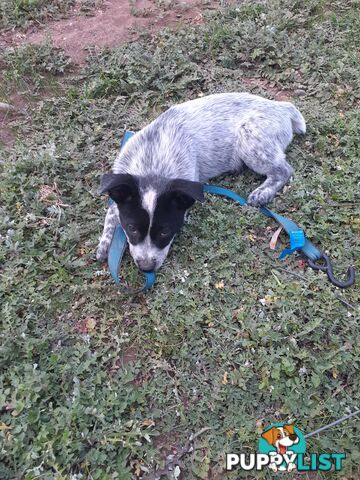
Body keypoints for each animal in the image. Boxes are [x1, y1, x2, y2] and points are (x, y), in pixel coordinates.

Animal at [97, 92, 306, 272]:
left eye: (165, 232)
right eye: (131, 228)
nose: (146, 268)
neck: (152, 165)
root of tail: (282, 107)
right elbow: (112, 213)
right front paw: (104, 244)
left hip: (250, 139)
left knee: (284, 170)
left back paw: (263, 193)